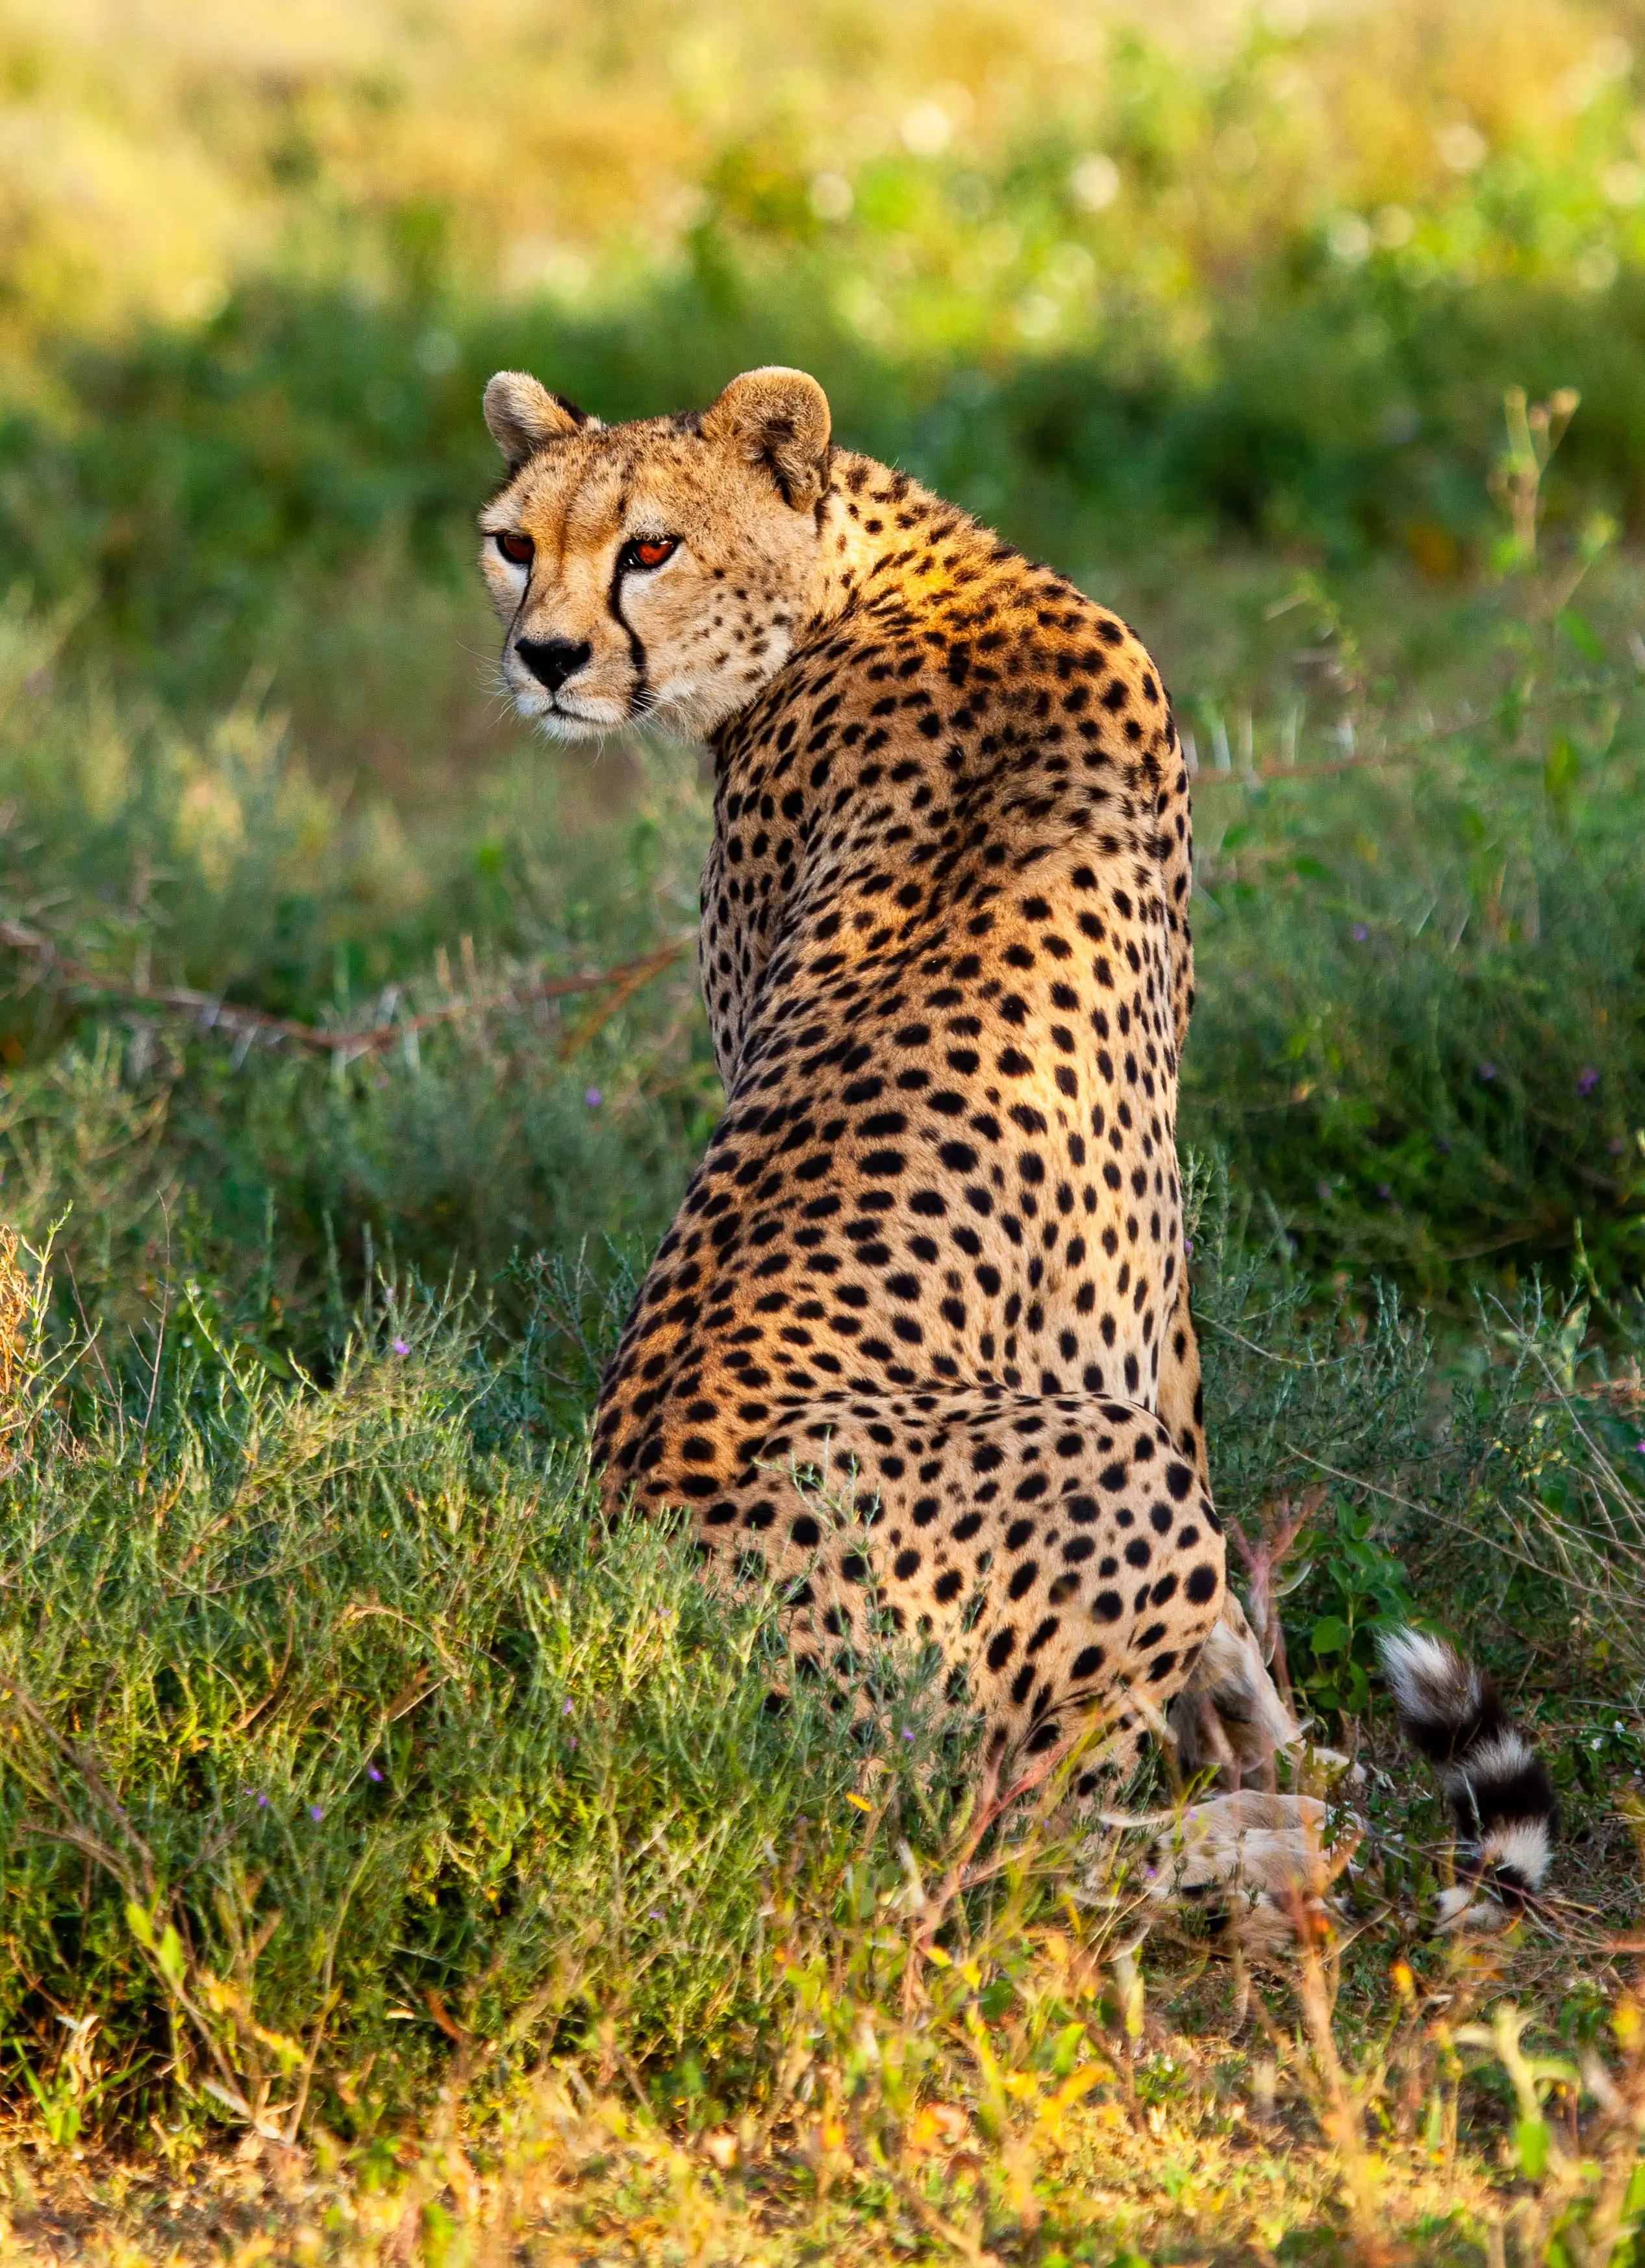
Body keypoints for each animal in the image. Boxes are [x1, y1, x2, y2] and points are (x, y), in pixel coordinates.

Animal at [477, 363, 1557, 1926]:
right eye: (515, 543)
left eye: (649, 548)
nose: (546, 657)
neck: (880, 575)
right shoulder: (1142, 1273)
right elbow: (1222, 1589)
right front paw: (1282, 1750)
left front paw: (1284, 1742)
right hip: (1102, 1474)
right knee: (1011, 1852)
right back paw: (1273, 1837)